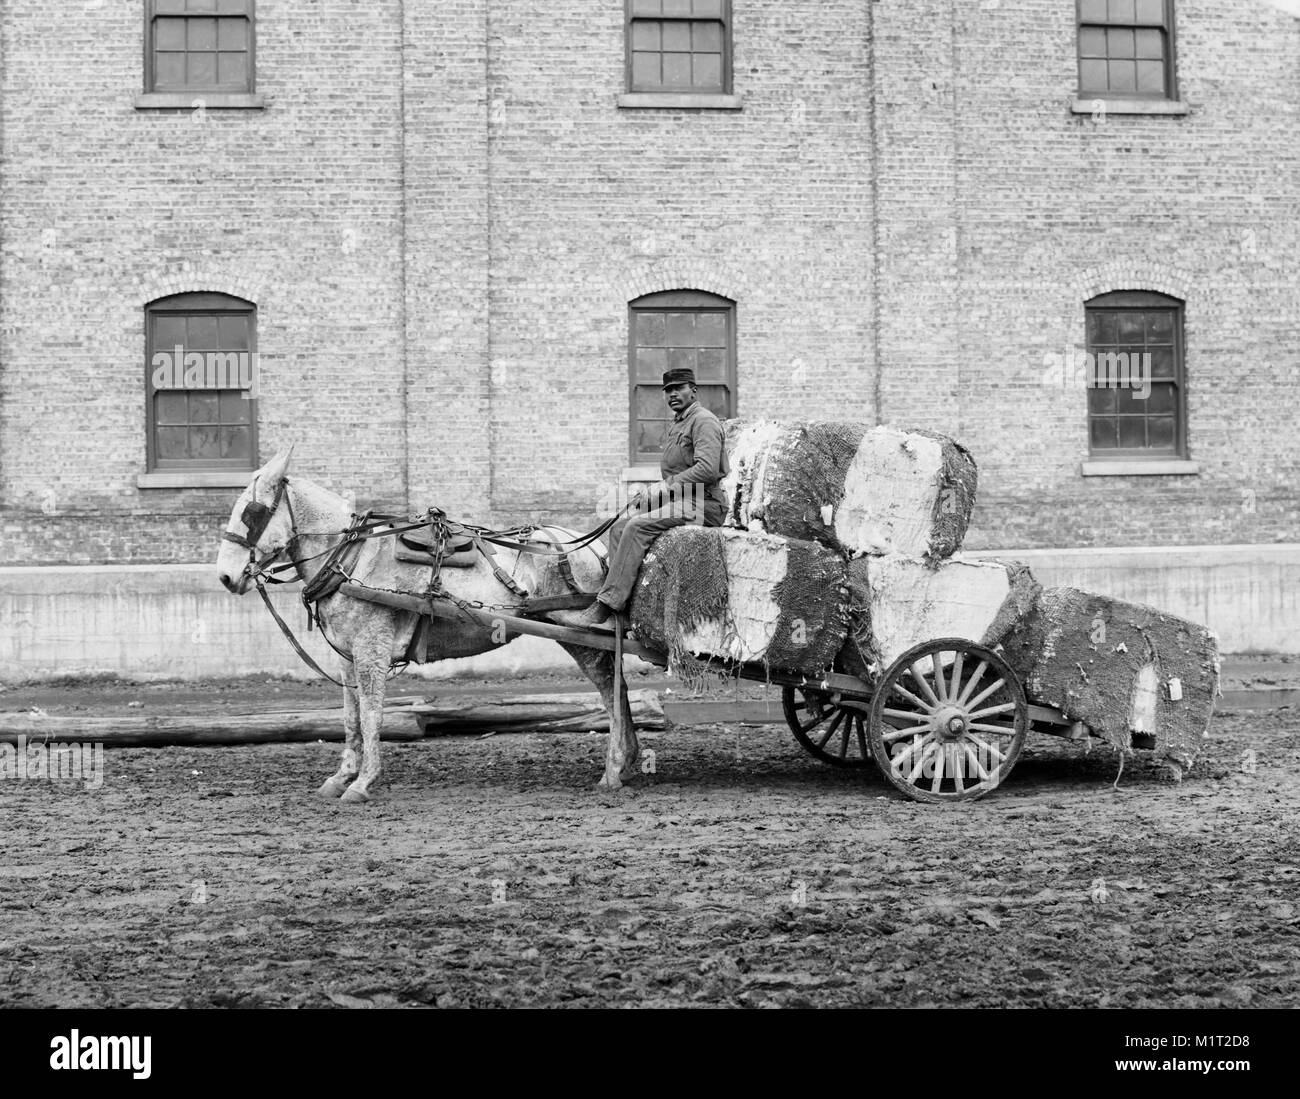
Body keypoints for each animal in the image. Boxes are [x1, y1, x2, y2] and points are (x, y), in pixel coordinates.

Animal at [217, 450, 639, 801]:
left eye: (251, 511)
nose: (225, 576)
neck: (350, 558)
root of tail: (590, 546)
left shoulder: (371, 651)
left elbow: (372, 715)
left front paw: (363, 782)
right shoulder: (348, 657)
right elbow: (351, 717)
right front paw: (341, 777)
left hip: (580, 636)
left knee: (610, 691)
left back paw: (614, 767)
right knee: (617, 687)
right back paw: (628, 762)